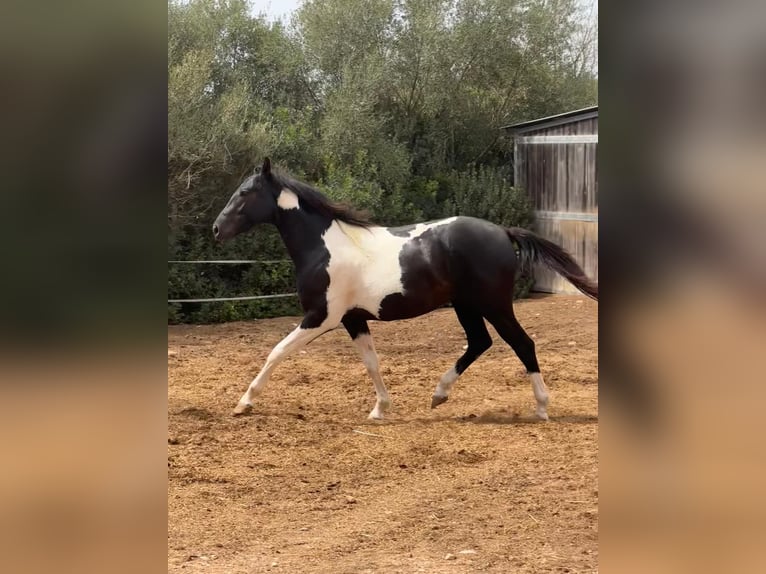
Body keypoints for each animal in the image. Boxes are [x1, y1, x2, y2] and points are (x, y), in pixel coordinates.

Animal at [213, 158, 598, 421]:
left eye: (245, 192)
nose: (216, 229)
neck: (323, 247)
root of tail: (503, 231)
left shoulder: (321, 317)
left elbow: (276, 352)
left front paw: (244, 403)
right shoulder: (353, 319)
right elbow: (371, 362)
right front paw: (380, 409)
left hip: (494, 304)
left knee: (522, 343)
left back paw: (541, 407)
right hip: (466, 305)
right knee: (479, 342)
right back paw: (438, 395)